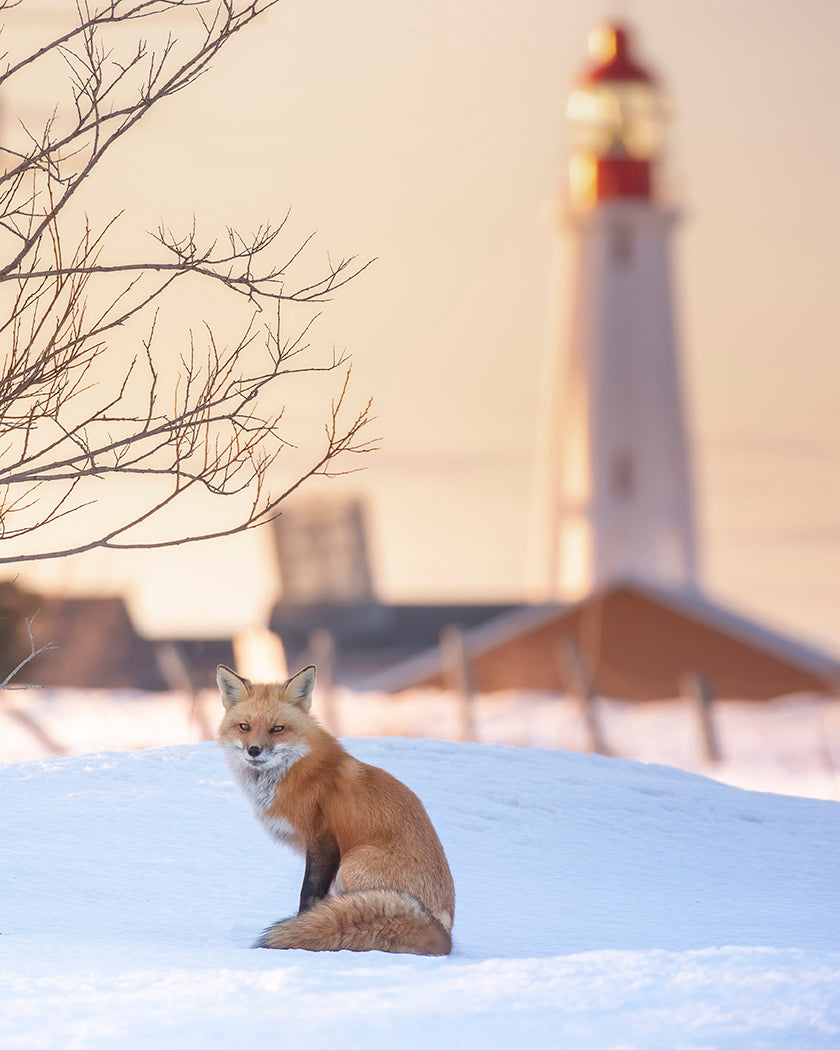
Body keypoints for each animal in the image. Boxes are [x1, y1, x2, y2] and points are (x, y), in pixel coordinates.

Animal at [216, 663, 455, 956]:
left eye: (277, 729)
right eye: (244, 726)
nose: (254, 750)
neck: (293, 771)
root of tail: (444, 933)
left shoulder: (323, 839)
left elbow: (308, 894)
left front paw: (302, 928)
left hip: (351, 866)